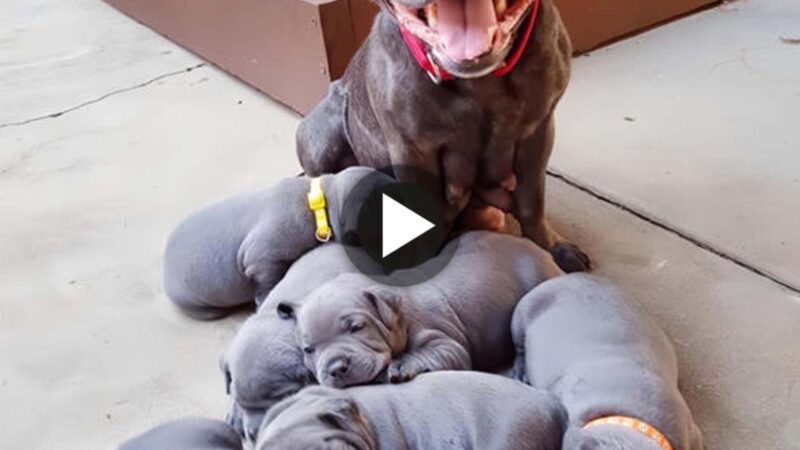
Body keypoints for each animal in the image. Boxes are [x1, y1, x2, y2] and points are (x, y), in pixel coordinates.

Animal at [282, 230, 564, 388]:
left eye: (357, 327)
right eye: (308, 350)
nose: (335, 368)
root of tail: (543, 253)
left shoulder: (448, 345)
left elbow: (430, 353)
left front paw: (400, 366)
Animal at [296, 0, 592, 272]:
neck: (480, 82)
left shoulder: (538, 131)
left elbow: (532, 200)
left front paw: (551, 246)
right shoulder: (412, 149)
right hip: (322, 139)